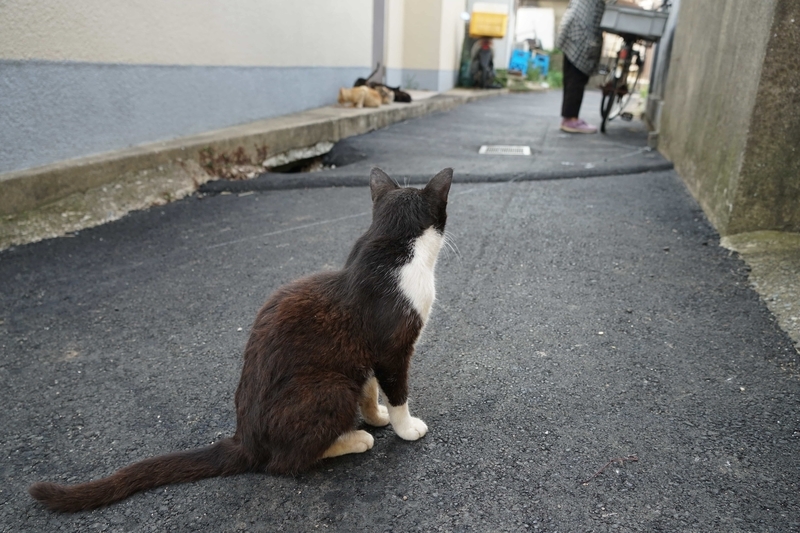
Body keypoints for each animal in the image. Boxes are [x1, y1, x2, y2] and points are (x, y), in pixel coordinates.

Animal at [28, 168, 454, 512]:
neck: (390, 247)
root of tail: (245, 440)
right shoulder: (391, 349)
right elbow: (396, 390)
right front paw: (403, 426)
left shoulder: (361, 353)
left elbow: (368, 386)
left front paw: (376, 415)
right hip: (328, 387)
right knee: (284, 462)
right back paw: (351, 439)